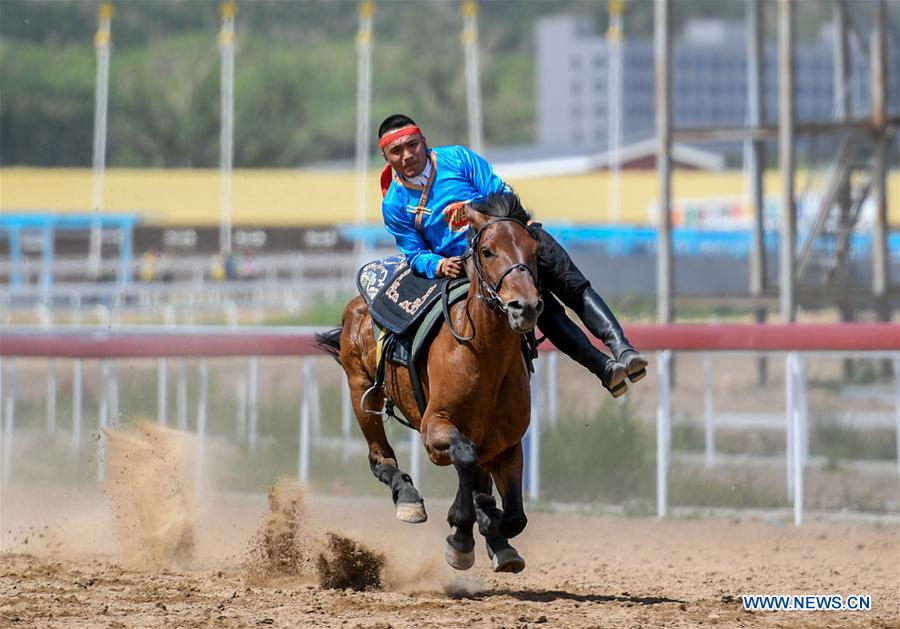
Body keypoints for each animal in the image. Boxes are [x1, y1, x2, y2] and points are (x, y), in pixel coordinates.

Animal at [316, 194, 540, 572]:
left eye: (534, 248)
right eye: (488, 251)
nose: (525, 306)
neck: (484, 357)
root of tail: (357, 304)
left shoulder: (508, 443)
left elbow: (514, 516)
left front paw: (492, 529)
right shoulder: (434, 429)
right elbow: (464, 457)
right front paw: (461, 537)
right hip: (361, 389)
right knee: (380, 456)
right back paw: (408, 498)